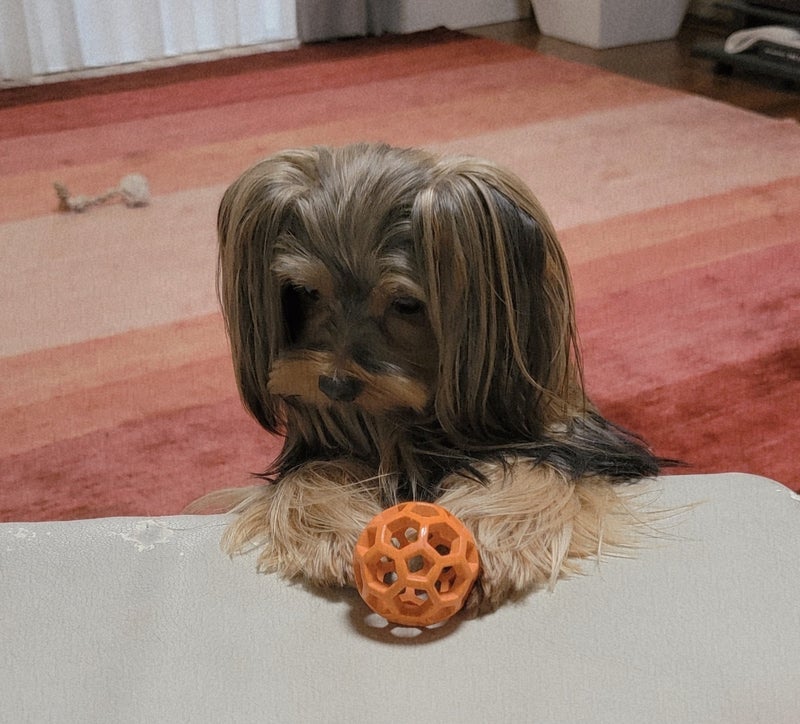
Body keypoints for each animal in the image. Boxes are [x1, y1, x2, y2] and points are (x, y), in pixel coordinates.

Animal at [199, 142, 668, 614]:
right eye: (305, 292)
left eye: (406, 303)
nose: (334, 387)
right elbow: (309, 475)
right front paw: (330, 537)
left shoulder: (568, 442)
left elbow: (542, 468)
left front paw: (492, 537)